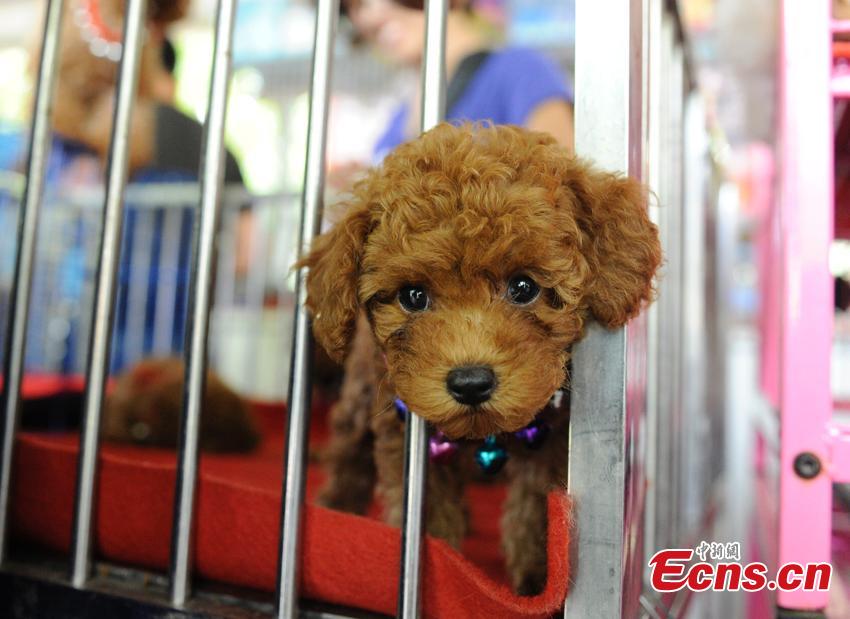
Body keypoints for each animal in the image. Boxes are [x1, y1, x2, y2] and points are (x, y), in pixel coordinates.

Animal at [304, 122, 664, 596]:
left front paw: (535, 580)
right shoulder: (408, 439)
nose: (470, 382)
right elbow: (428, 519)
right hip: (365, 387)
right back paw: (337, 505)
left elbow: (535, 510)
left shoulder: (550, 440)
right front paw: (440, 573)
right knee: (349, 446)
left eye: (524, 287)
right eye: (413, 296)